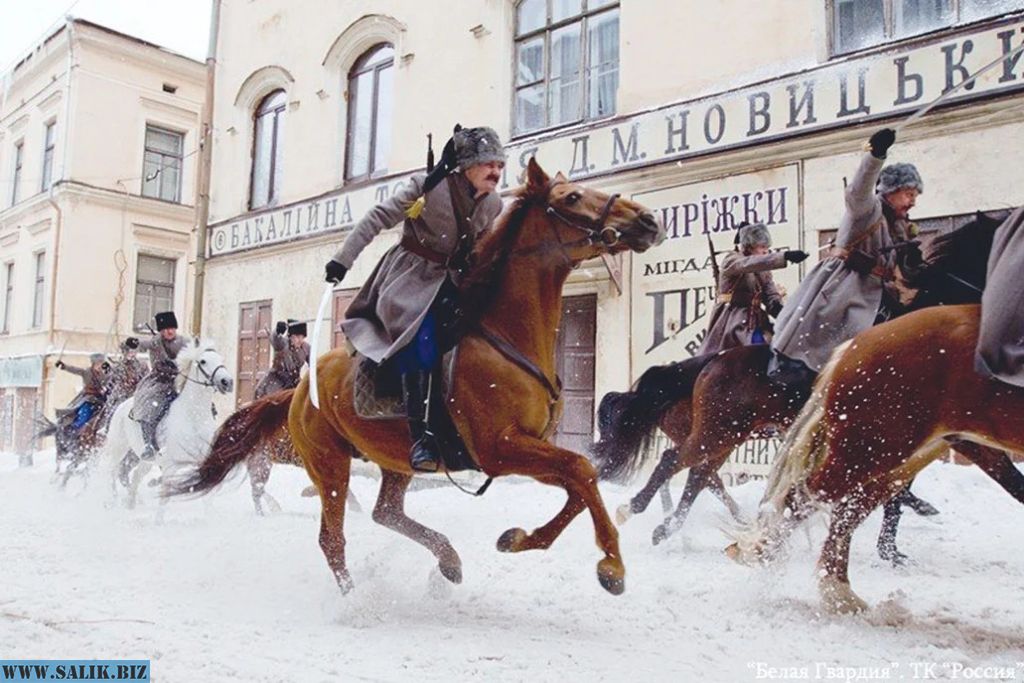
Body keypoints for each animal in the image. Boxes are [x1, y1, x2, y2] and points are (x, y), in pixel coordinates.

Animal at [102, 339, 233, 509]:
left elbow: (207, 497)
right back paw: (111, 501)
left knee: (136, 475)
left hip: (146, 460)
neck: (193, 418)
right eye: (203, 361)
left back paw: (130, 504)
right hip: (119, 447)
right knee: (110, 470)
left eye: (221, 359)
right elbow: (164, 499)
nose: (227, 382)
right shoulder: (170, 466)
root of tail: (121, 405)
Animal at [167, 158, 663, 593]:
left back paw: (448, 561)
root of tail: (297, 391)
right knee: (333, 539)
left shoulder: (529, 448)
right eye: (572, 196)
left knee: (386, 513)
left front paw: (519, 539)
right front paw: (612, 565)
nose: (647, 220)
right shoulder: (500, 449)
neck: (503, 334)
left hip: (395, 458)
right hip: (330, 464)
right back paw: (357, 599)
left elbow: (581, 480)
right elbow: (582, 470)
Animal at [589, 209, 1011, 548]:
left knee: (699, 475)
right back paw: (648, 511)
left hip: (726, 434)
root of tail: (707, 362)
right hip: (717, 432)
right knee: (687, 467)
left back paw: (679, 523)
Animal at [724, 305, 1024, 614]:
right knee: (805, 496)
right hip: (873, 447)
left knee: (849, 508)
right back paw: (767, 556)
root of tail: (853, 346)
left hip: (898, 454)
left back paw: (839, 592)